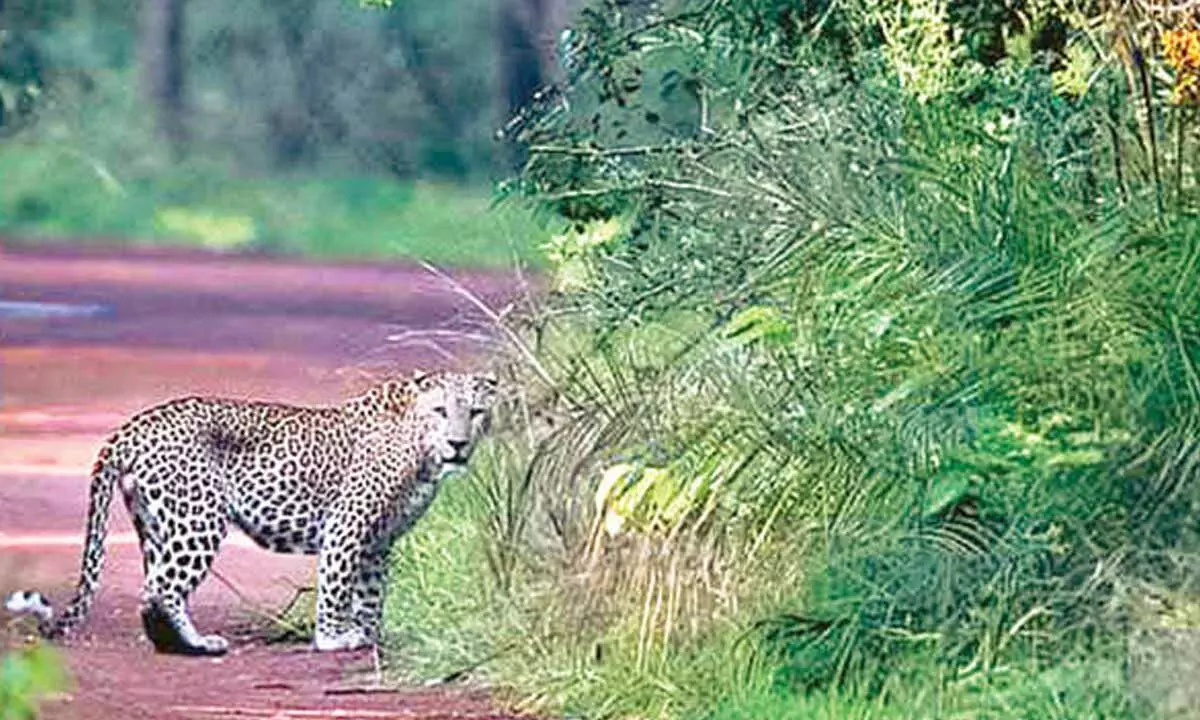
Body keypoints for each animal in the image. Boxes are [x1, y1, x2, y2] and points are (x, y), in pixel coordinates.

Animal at [4, 369, 497, 656]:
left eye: (475, 412)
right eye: (440, 411)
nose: (457, 443)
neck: (422, 452)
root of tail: (133, 425)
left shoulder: (378, 540)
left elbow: (371, 593)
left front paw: (370, 635)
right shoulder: (348, 526)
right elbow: (338, 586)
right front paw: (332, 638)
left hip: (155, 522)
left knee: (153, 589)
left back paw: (173, 643)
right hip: (198, 520)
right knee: (162, 587)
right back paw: (198, 644)